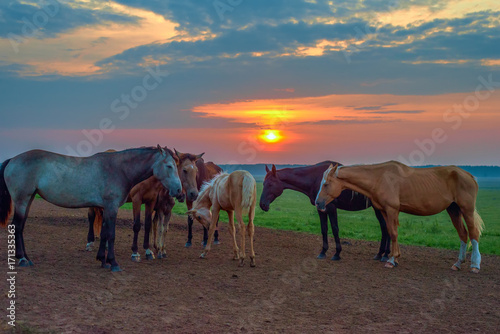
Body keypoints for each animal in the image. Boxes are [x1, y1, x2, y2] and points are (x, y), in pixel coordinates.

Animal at [0, 145, 183, 272]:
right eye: (169, 166)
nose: (179, 191)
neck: (119, 169)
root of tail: (13, 159)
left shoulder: (105, 208)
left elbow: (103, 234)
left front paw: (102, 260)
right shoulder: (111, 207)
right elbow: (111, 235)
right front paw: (113, 263)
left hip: (29, 199)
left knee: (21, 227)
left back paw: (26, 258)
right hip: (22, 200)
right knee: (17, 226)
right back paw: (22, 259)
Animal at [260, 163, 392, 262]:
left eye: (270, 184)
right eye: (263, 183)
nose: (262, 205)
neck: (315, 179)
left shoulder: (331, 207)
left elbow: (334, 229)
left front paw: (337, 254)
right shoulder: (321, 209)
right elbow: (324, 229)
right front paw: (323, 252)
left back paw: (385, 255)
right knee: (385, 228)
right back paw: (380, 254)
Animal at [316, 162, 484, 274]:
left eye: (326, 184)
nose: (318, 202)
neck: (380, 178)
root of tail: (469, 175)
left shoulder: (392, 210)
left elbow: (394, 233)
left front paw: (391, 260)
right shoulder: (384, 211)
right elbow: (390, 232)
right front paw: (393, 258)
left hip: (466, 210)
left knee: (473, 234)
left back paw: (475, 265)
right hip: (453, 210)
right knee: (463, 234)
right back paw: (458, 263)